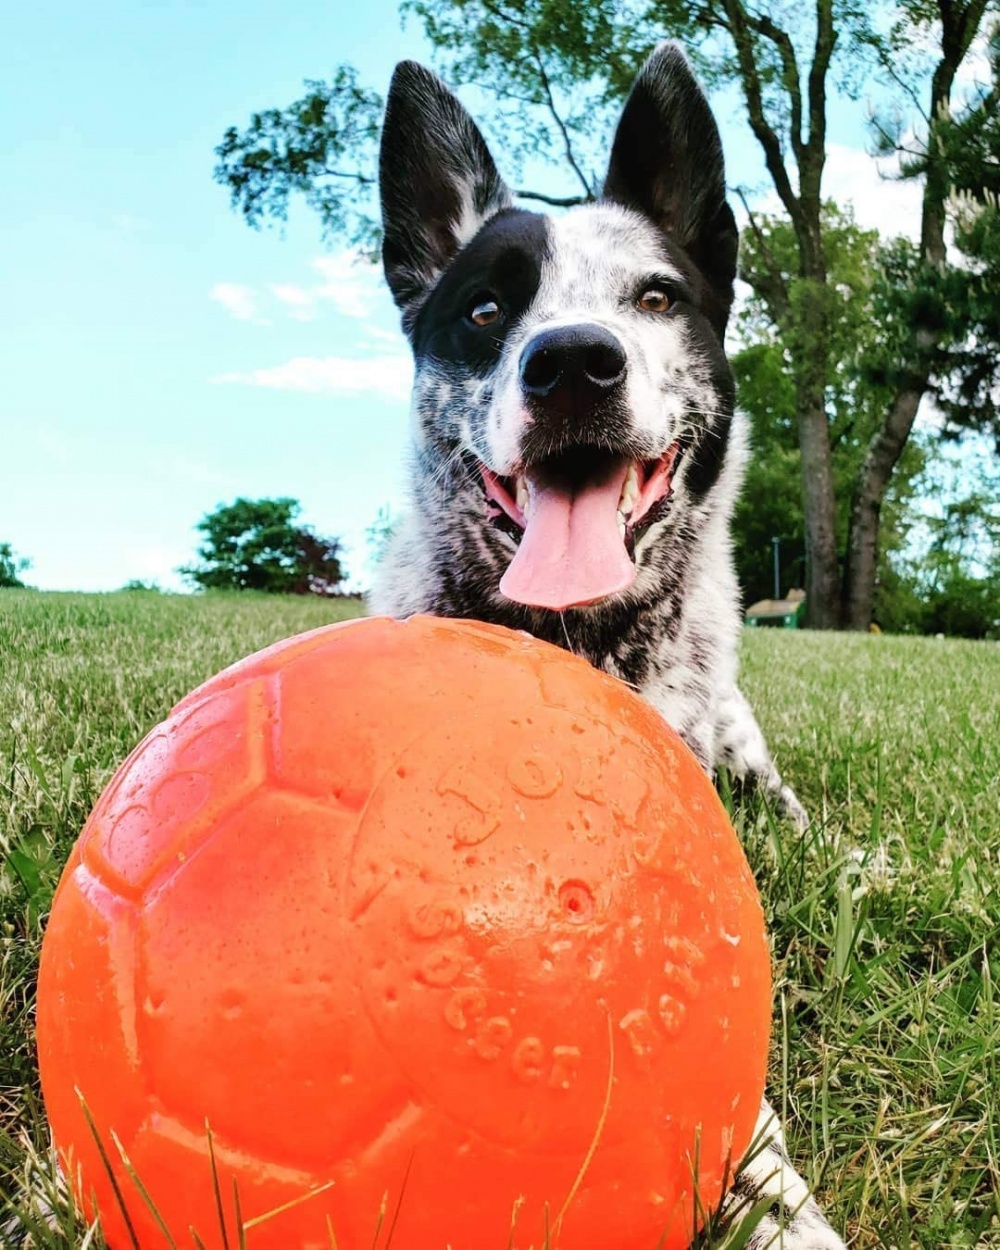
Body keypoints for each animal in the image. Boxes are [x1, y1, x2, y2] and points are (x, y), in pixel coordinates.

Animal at [370, 44, 850, 1245]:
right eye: (486, 307)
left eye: (655, 297)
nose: (574, 362)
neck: (579, 639)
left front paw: (781, 1203)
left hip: (744, 745)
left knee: (791, 809)